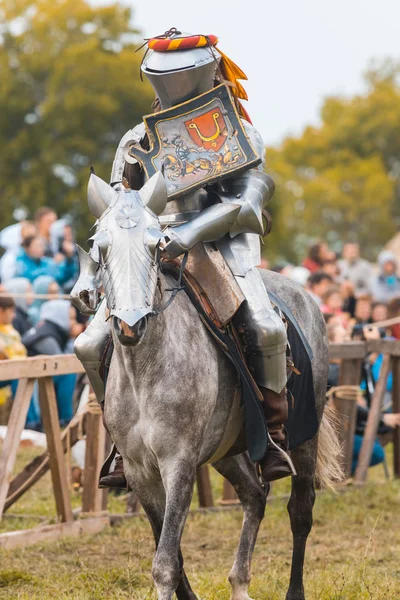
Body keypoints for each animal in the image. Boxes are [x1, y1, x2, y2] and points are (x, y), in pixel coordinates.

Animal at [72, 172, 340, 600]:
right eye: (101, 246)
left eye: (155, 246)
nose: (131, 326)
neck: (144, 370)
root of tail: (305, 296)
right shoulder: (141, 472)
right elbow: (171, 552)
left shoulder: (178, 464)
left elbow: (165, 563)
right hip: (227, 449)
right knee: (254, 496)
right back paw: (239, 584)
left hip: (304, 437)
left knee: (300, 511)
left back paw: (292, 589)